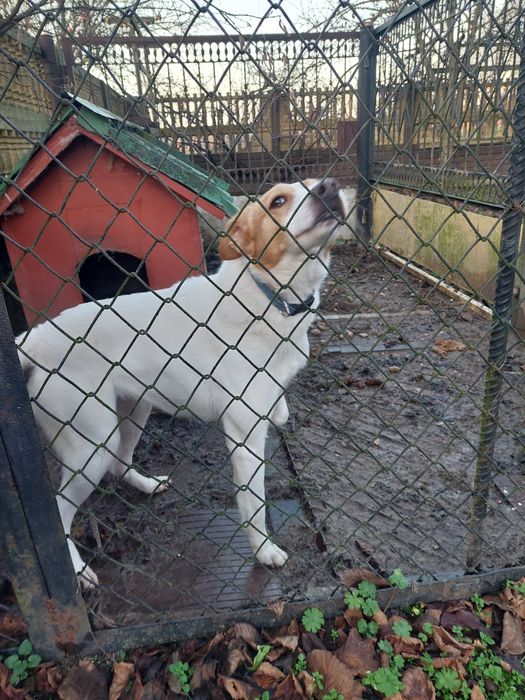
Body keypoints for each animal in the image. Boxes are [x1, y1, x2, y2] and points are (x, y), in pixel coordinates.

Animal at [17, 178, 348, 588]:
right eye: (278, 201)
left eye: (317, 184)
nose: (330, 187)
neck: (272, 300)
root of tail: (35, 338)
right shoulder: (244, 438)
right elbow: (253, 504)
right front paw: (263, 551)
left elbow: (281, 409)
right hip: (91, 443)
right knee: (62, 511)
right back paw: (78, 570)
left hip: (133, 413)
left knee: (120, 464)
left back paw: (146, 485)